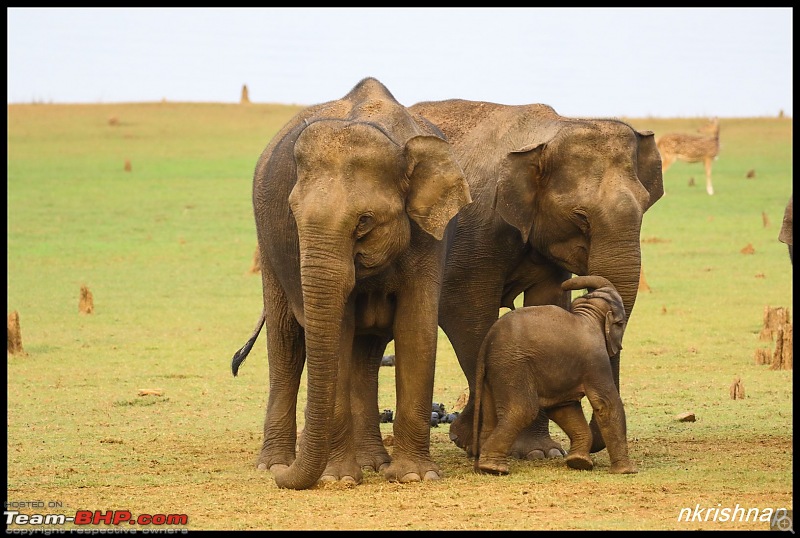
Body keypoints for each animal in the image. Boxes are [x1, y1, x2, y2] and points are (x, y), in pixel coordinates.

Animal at [228, 77, 472, 488]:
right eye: (292, 215)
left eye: (364, 221)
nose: (285, 478)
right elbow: (337, 334)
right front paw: (337, 479)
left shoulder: (430, 237)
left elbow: (416, 329)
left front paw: (414, 477)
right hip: (268, 247)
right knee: (286, 343)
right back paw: (274, 464)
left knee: (367, 353)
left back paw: (372, 462)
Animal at [476, 276, 636, 474]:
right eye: (621, 323)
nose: (564, 284)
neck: (587, 313)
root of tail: (488, 340)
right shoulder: (596, 359)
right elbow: (605, 404)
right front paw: (627, 471)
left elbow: (564, 407)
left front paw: (579, 462)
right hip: (512, 366)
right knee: (523, 410)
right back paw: (494, 468)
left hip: (493, 372)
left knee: (490, 413)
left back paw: (484, 467)